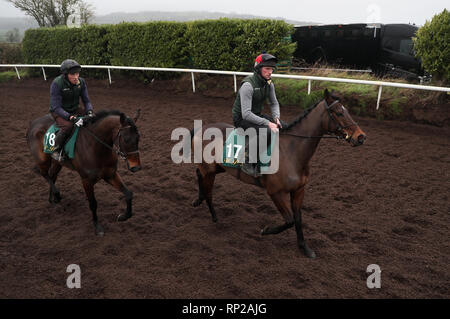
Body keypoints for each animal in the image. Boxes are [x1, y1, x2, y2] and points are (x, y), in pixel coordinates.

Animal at [25, 110, 141, 238]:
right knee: (44, 174)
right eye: (126, 139)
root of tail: (33, 123)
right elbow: (93, 203)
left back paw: (53, 201)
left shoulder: (110, 175)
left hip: (57, 163)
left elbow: (128, 193)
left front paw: (124, 216)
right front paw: (97, 227)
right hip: (42, 160)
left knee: (52, 175)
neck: (95, 147)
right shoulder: (86, 181)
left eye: (138, 138)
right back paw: (57, 194)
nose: (136, 167)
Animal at [192, 89, 368, 258]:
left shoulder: (299, 190)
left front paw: (304, 248)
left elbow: (298, 218)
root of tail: (202, 128)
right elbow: (289, 221)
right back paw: (214, 216)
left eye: (346, 111)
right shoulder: (275, 192)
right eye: (339, 113)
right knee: (209, 192)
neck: (292, 151)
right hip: (210, 170)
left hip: (217, 168)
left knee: (199, 174)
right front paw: (265, 230)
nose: (361, 137)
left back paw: (198, 200)